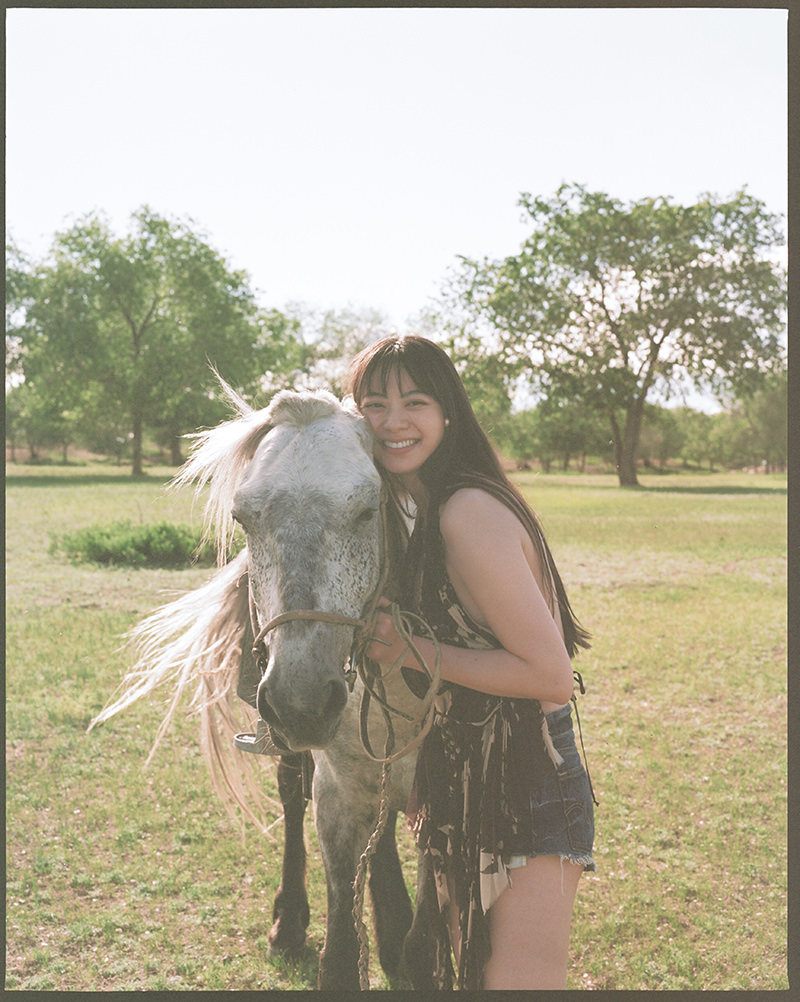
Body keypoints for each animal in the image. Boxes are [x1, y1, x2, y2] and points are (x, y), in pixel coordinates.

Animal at [90, 386, 435, 989]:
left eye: (367, 509)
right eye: (244, 518)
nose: (301, 700)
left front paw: (404, 941)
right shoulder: (335, 787)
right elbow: (341, 951)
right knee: (294, 797)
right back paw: (293, 922)